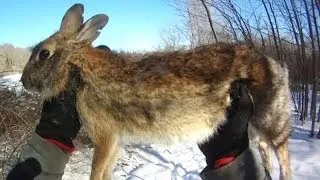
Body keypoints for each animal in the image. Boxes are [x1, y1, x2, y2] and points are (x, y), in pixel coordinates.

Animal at [21, 3, 292, 180]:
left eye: (43, 54)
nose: (24, 81)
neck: (77, 65)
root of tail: (275, 65)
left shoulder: (105, 135)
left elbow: (97, 170)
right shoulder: (115, 140)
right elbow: (106, 170)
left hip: (270, 117)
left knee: (282, 150)